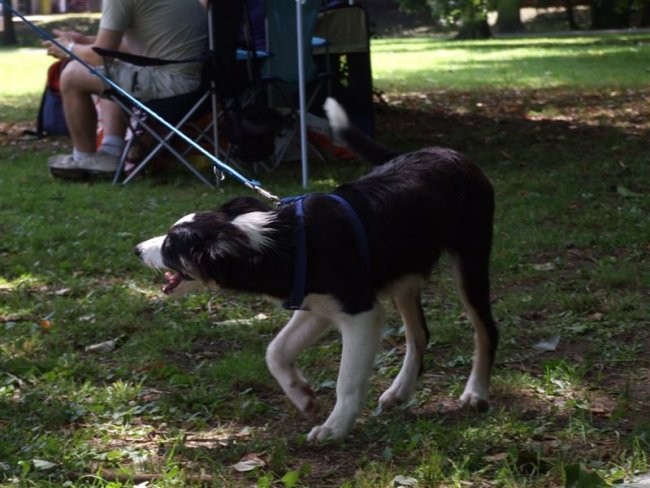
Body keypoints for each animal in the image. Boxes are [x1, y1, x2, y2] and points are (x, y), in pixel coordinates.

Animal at [134, 98, 494, 442]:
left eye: (170, 244)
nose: (137, 250)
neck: (281, 243)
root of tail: (446, 151)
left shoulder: (360, 313)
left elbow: (347, 380)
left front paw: (335, 428)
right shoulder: (317, 307)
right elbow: (275, 351)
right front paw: (302, 396)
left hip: (470, 261)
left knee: (486, 328)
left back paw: (475, 392)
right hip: (404, 277)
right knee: (420, 334)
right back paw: (399, 392)